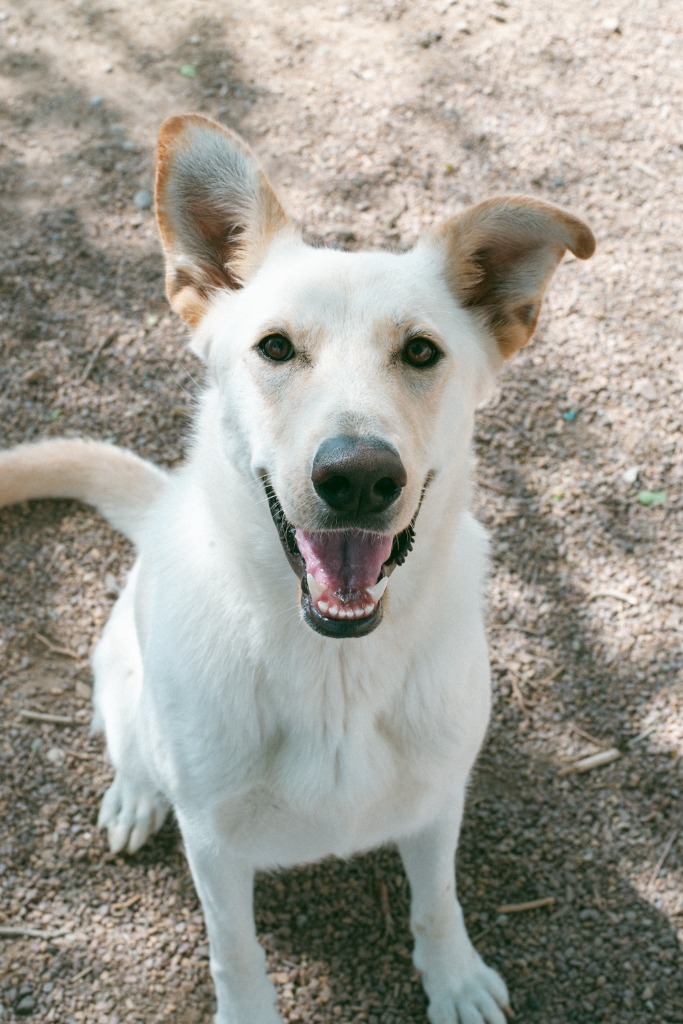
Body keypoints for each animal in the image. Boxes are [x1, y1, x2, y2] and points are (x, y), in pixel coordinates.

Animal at [0, 116, 593, 1024]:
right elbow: (234, 951)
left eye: (421, 352)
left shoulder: (436, 804)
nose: (358, 476)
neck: (334, 673)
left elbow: (436, 901)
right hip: (122, 681)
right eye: (274, 347)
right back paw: (135, 795)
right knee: (131, 745)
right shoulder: (214, 845)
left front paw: (452, 978)